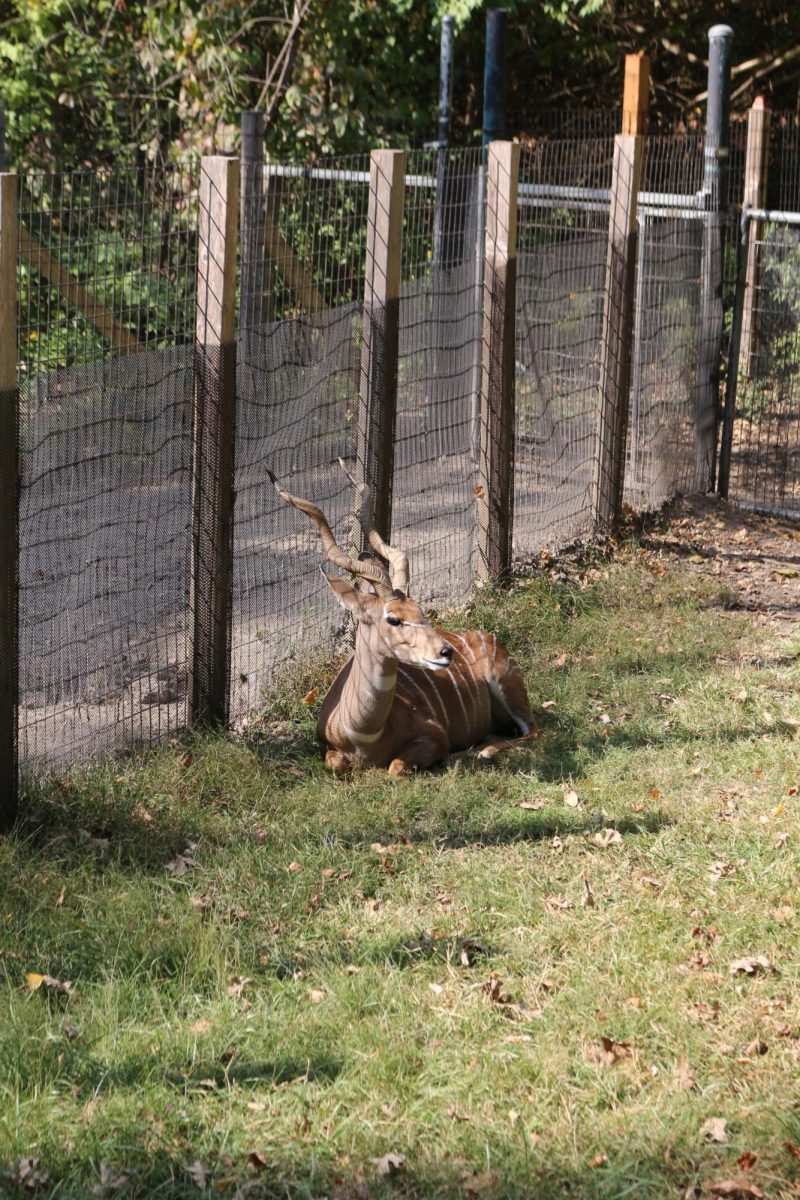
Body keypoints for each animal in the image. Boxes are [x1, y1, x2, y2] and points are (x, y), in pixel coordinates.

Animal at [268, 458, 537, 777]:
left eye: (421, 612)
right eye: (393, 619)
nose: (446, 652)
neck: (364, 734)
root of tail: (486, 636)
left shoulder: (434, 735)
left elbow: (396, 766)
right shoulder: (329, 748)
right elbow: (336, 763)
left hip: (508, 686)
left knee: (532, 731)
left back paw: (483, 752)